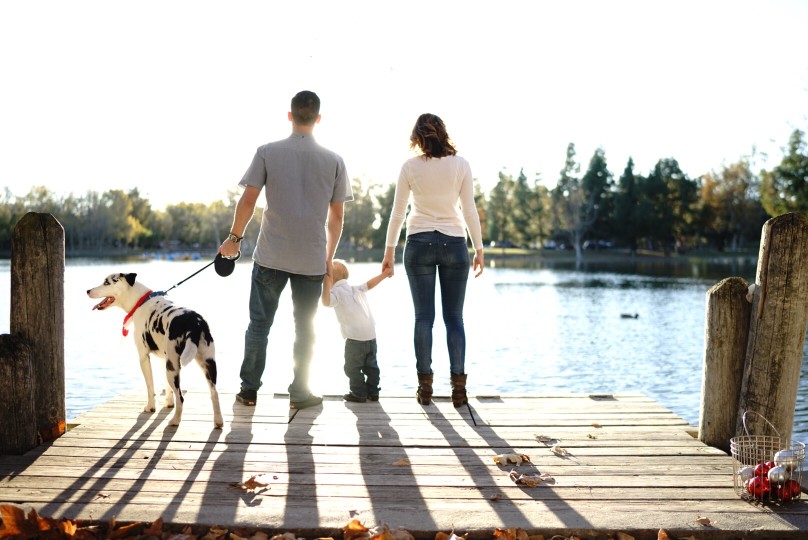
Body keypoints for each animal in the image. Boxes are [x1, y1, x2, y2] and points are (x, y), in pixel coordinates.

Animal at [86, 272, 224, 428]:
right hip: (206, 364)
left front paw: (150, 407)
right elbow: (167, 388)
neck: (140, 302)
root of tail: (195, 322)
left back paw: (175, 421)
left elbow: (150, 387)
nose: (88, 291)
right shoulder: (165, 360)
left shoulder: (144, 357)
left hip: (174, 367)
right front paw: (168, 403)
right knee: (214, 393)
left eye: (107, 282)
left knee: (181, 397)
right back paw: (218, 422)